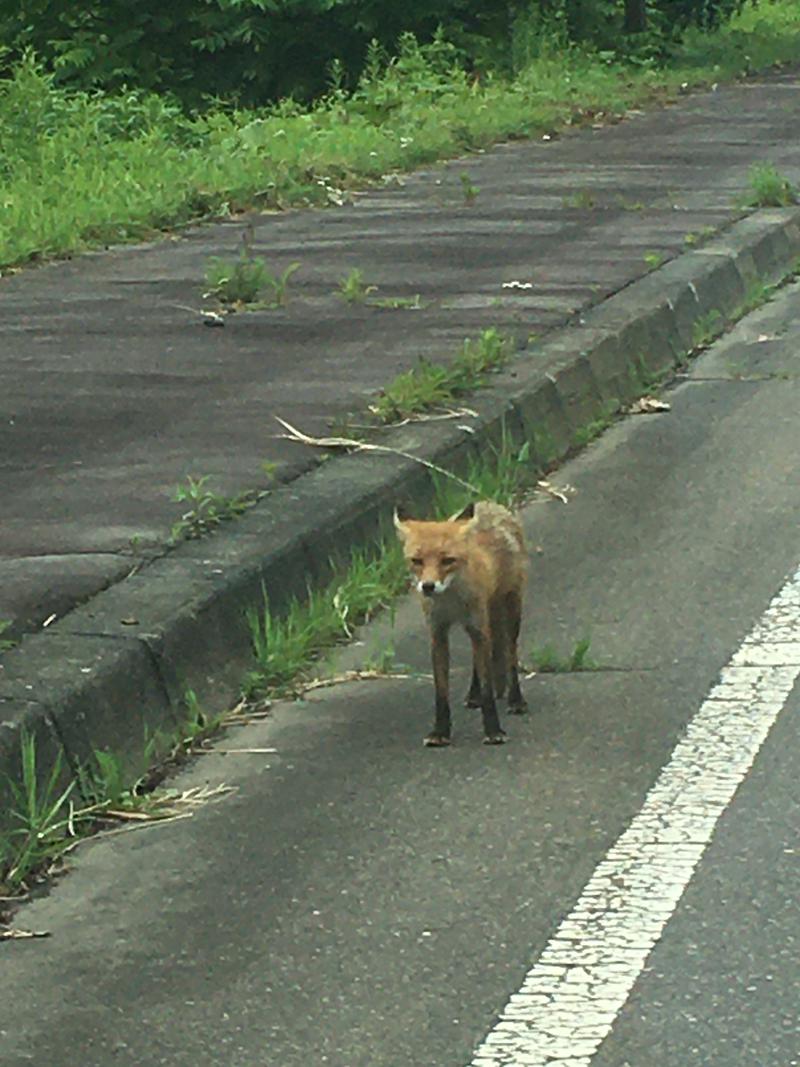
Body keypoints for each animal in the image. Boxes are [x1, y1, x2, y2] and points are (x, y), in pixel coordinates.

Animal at [392, 501, 529, 746]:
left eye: (447, 560)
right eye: (416, 561)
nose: (428, 586)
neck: (451, 601)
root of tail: (489, 503)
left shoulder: (478, 627)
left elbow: (487, 688)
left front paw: (493, 730)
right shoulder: (438, 631)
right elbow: (441, 691)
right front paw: (440, 731)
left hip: (510, 610)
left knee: (510, 653)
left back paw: (515, 699)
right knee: (479, 659)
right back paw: (473, 696)